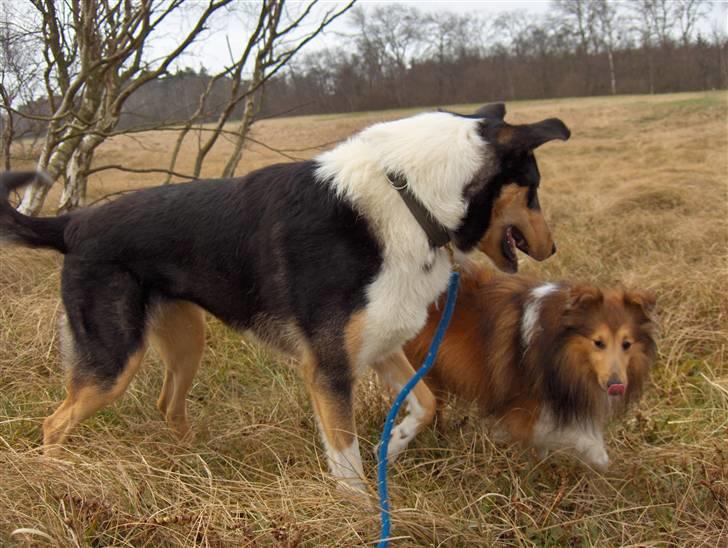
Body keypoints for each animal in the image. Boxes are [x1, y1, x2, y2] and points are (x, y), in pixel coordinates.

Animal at [0, 105, 568, 490]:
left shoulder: (378, 345)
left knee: (167, 404)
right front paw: (363, 515)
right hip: (112, 364)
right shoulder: (329, 369)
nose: (553, 247)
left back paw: (194, 466)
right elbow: (348, 464)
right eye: (535, 188)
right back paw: (56, 479)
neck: (410, 198)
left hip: (187, 342)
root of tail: (72, 224)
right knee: (54, 423)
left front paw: (396, 445)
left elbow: (425, 402)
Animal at [406, 268, 656, 468]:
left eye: (626, 344)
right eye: (598, 342)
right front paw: (599, 456)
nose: (616, 385)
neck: (556, 345)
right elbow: (567, 433)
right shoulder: (524, 410)